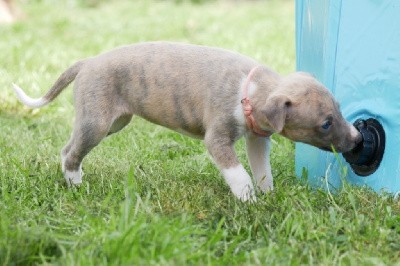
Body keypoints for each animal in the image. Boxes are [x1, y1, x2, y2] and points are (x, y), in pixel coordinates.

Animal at [12, 42, 362, 202]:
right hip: (96, 122)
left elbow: (263, 170)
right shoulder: (217, 139)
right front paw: (247, 198)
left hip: (113, 122)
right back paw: (74, 182)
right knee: (71, 151)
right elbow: (238, 172)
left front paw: (267, 195)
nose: (358, 139)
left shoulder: (258, 138)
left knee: (68, 147)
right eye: (326, 124)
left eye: (339, 110)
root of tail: (87, 62)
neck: (252, 90)